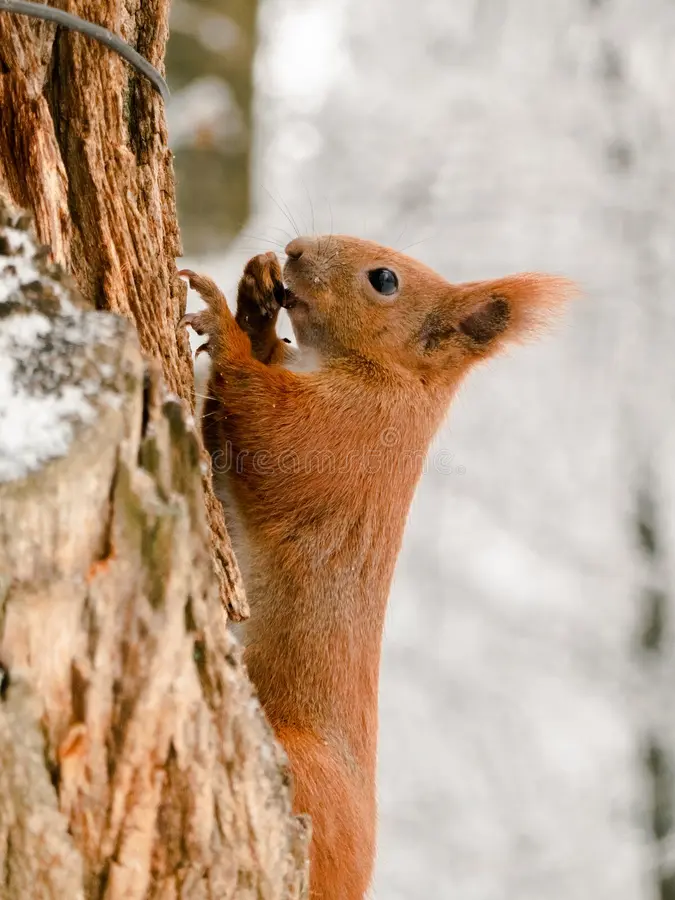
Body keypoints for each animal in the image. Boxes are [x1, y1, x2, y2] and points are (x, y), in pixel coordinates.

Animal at [179, 236, 573, 900]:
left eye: (384, 280)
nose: (294, 249)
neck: (393, 377)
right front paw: (255, 305)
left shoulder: (348, 433)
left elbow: (267, 425)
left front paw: (226, 324)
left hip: (296, 766)